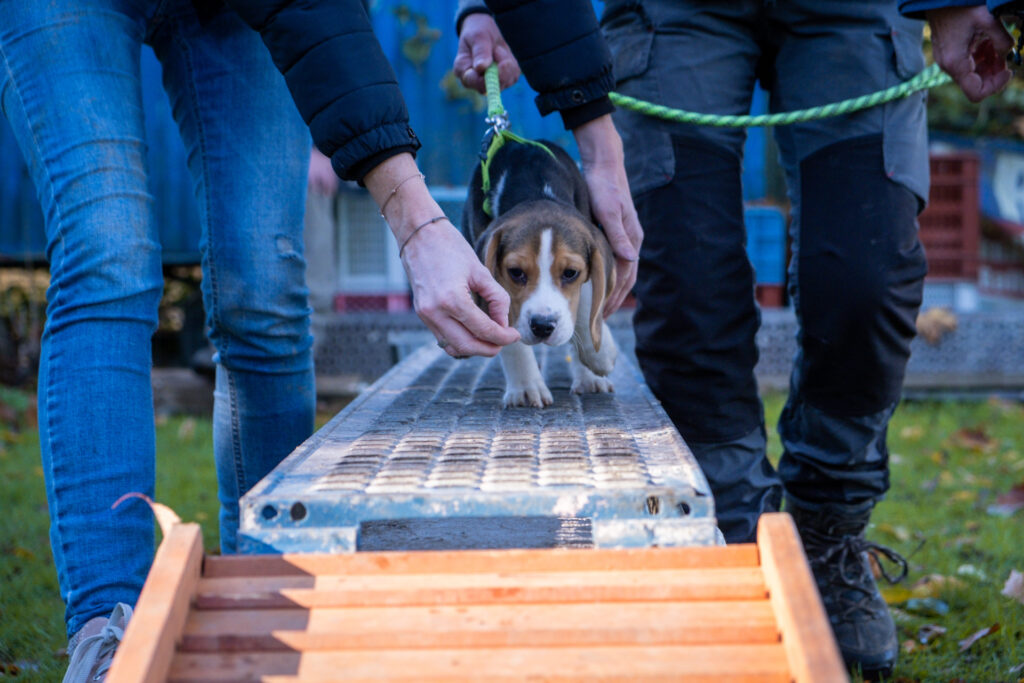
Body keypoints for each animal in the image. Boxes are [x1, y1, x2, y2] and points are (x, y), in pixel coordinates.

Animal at [464, 139, 614, 405]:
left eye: (570, 273)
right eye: (515, 272)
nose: (543, 326)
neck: (536, 190)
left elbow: (587, 304)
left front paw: (600, 354)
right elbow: (511, 338)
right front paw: (525, 387)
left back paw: (589, 379)